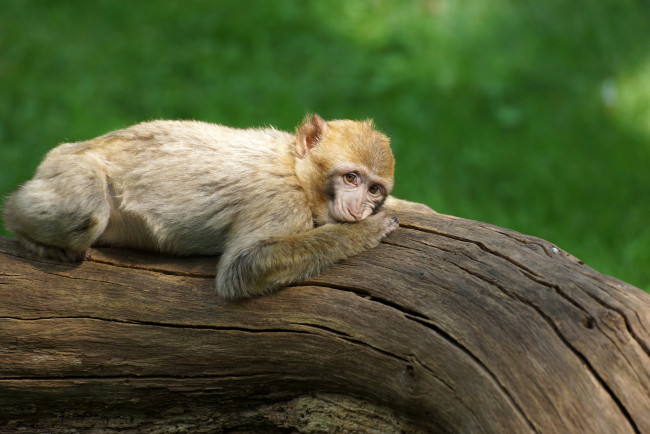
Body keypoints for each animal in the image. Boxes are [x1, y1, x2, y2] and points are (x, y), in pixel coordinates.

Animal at [2, 115, 398, 298]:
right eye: (351, 178)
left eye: (374, 189)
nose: (361, 209)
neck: (294, 168)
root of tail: (66, 148)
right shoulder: (282, 198)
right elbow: (244, 268)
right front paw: (368, 230)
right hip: (69, 167)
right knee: (84, 215)